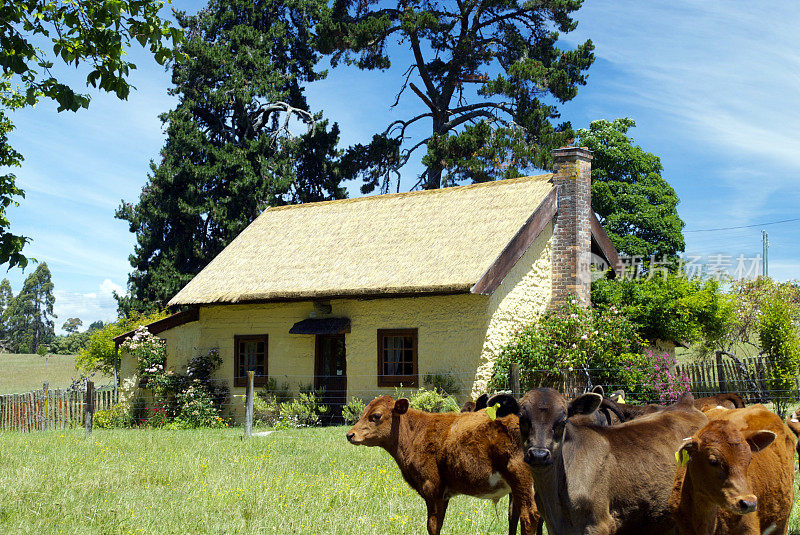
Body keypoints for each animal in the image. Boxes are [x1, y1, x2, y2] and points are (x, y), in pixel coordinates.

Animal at [346, 396, 540, 532]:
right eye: (363, 413)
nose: (350, 434)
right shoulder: (444, 493)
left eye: (376, 416)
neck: (414, 435)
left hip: (522, 480)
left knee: (529, 517)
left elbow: (433, 525)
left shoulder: (432, 487)